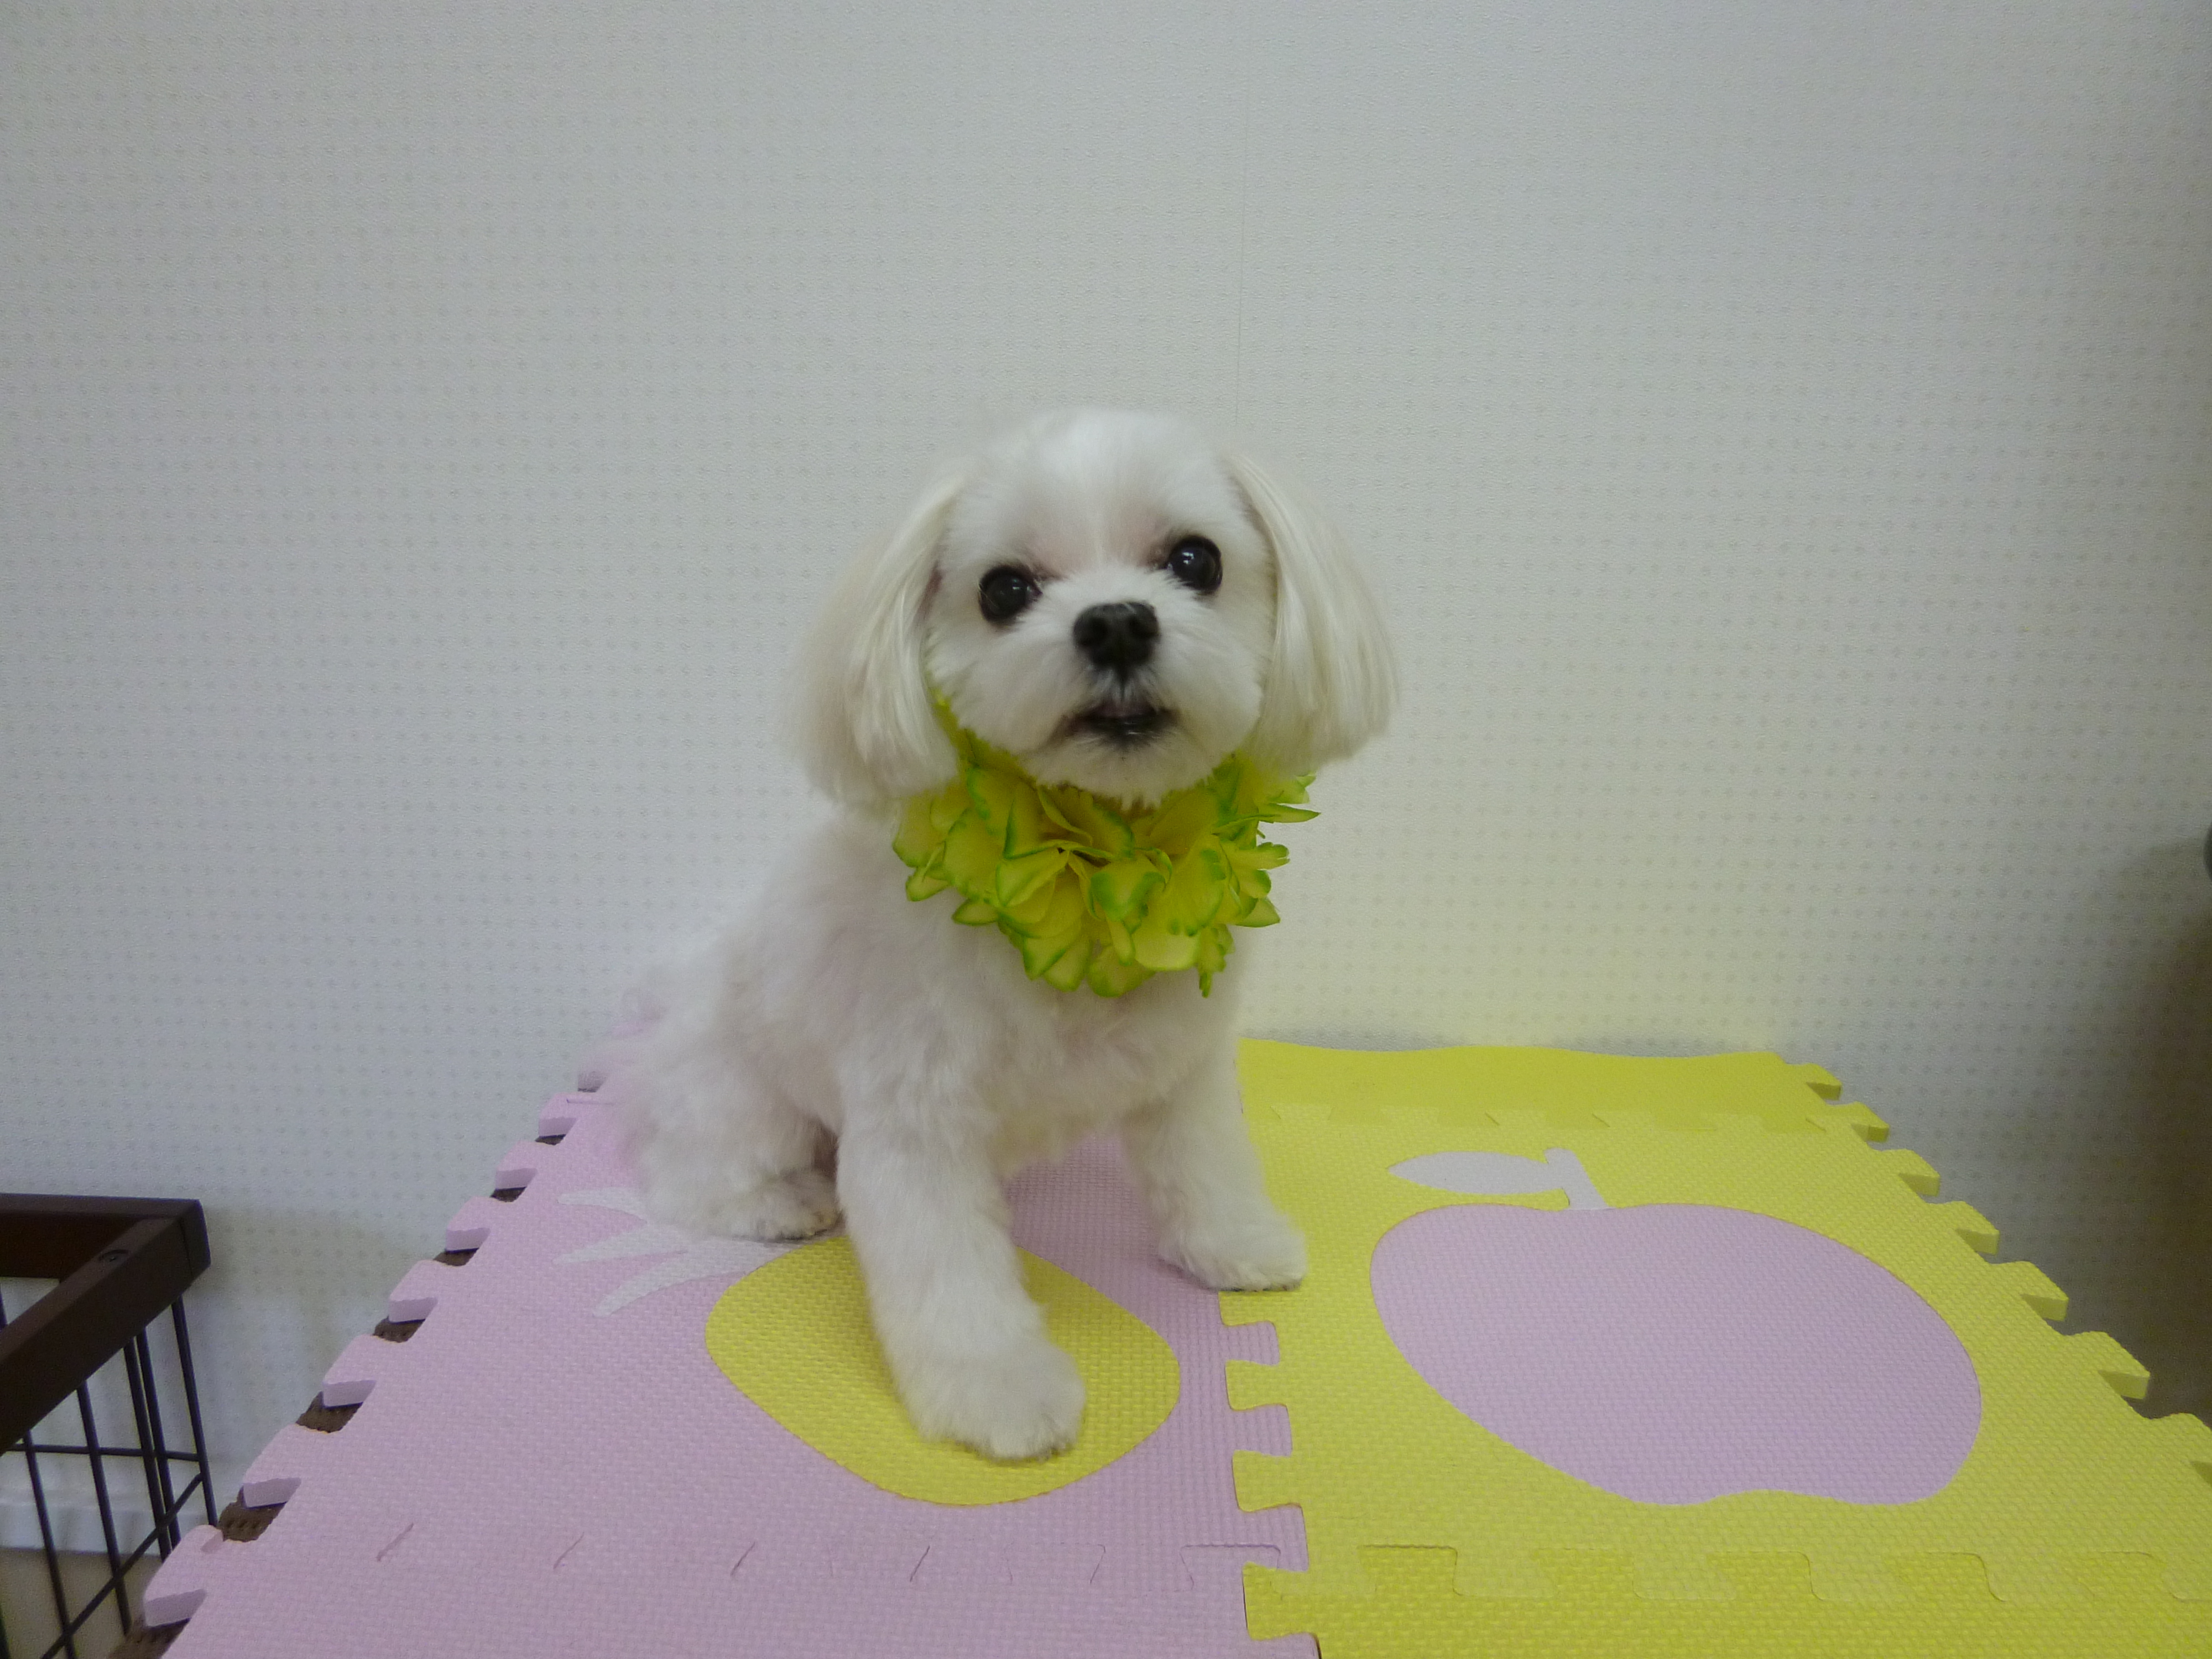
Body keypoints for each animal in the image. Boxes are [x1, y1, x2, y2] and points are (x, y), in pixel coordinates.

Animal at [629, 409, 1394, 1460]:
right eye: (1004, 590)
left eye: (1195, 560)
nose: (1116, 621)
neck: (1097, 865)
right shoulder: (915, 1123)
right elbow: (949, 1277)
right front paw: (998, 1390)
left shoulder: (1188, 1065)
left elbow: (1205, 1163)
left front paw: (1235, 1244)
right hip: (744, 1099)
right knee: (686, 1179)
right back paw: (779, 1203)